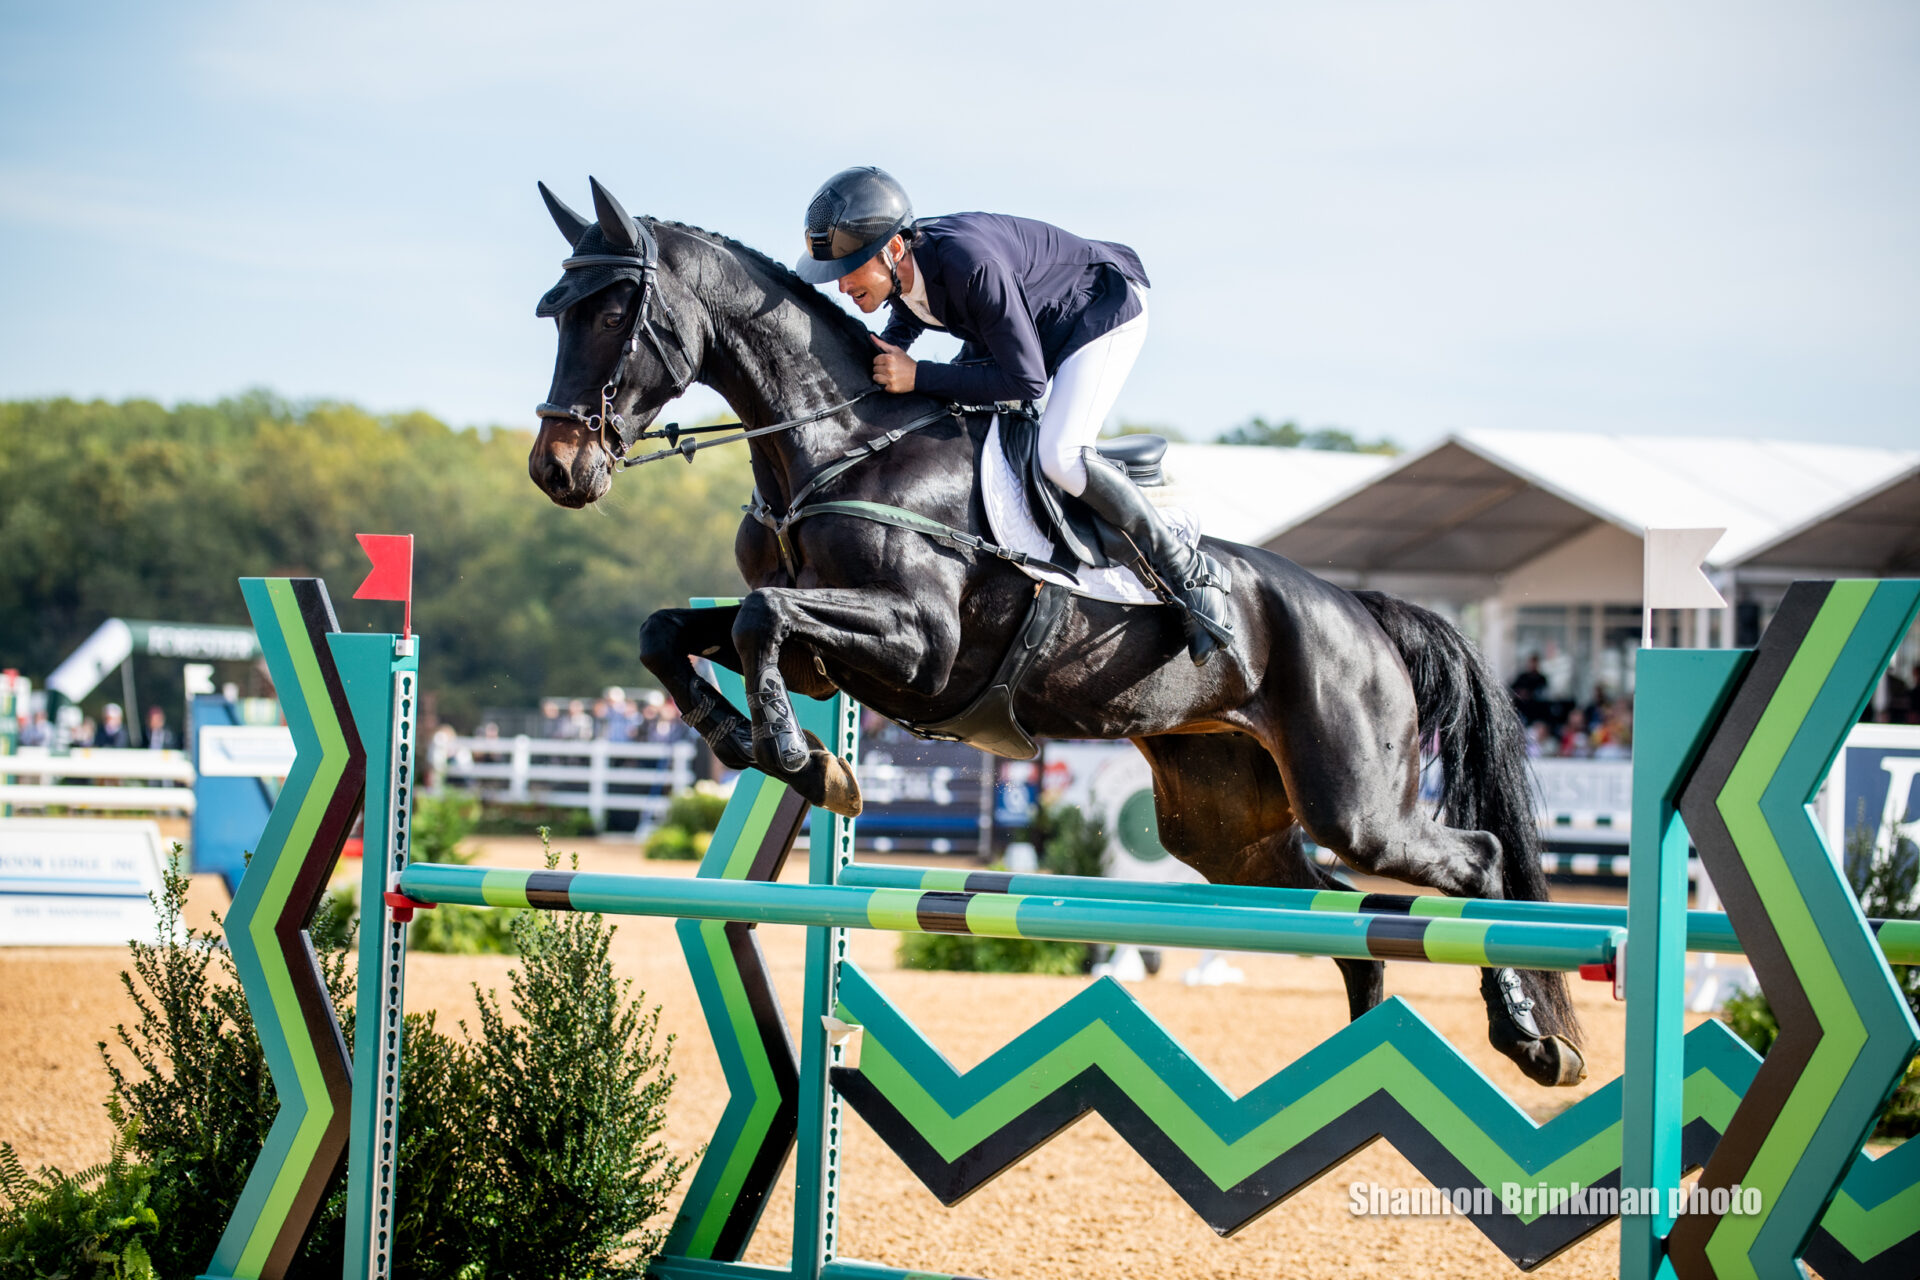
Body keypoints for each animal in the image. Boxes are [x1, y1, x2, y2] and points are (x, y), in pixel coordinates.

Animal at [526, 178, 1585, 1088]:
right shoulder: (831, 660)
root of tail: (1361, 607)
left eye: (612, 314)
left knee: (1473, 862)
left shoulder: (918, 645)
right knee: (1340, 921)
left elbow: (760, 619)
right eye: (557, 312)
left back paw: (1532, 1040)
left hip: (1355, 799)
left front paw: (802, 760)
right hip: (1225, 824)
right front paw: (746, 738)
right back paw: (1370, 1056)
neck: (842, 449)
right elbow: (673, 630)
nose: (556, 470)